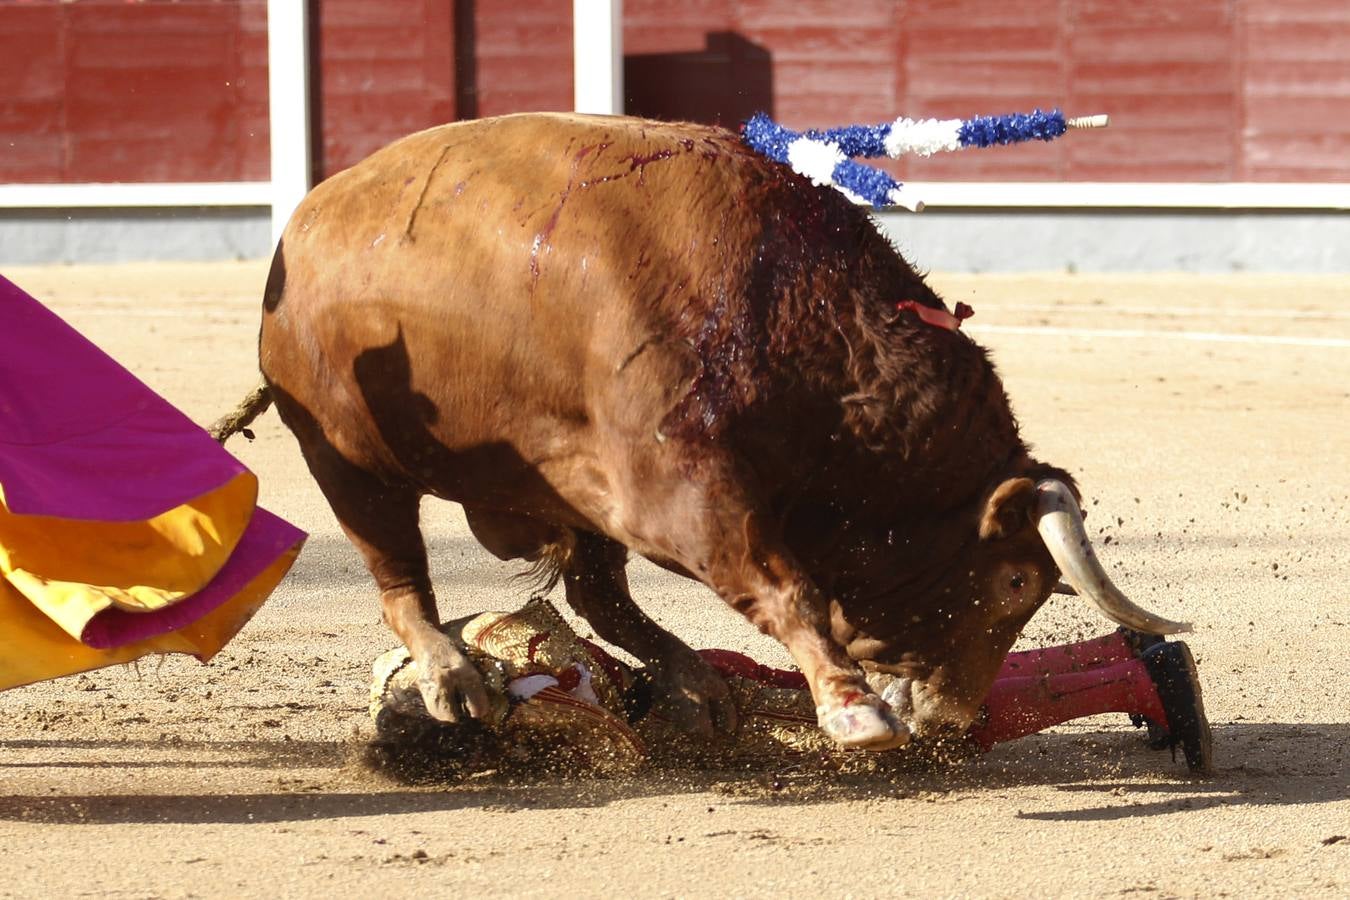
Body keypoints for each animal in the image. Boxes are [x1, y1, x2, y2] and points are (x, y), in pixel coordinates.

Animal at [248, 112, 1188, 750]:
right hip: (345, 461)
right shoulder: (678, 491)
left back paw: (693, 681)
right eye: (1014, 584)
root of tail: (311, 216)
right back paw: (450, 675)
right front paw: (853, 708)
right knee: (399, 576)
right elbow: (782, 584)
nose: (951, 720)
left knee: (598, 593)